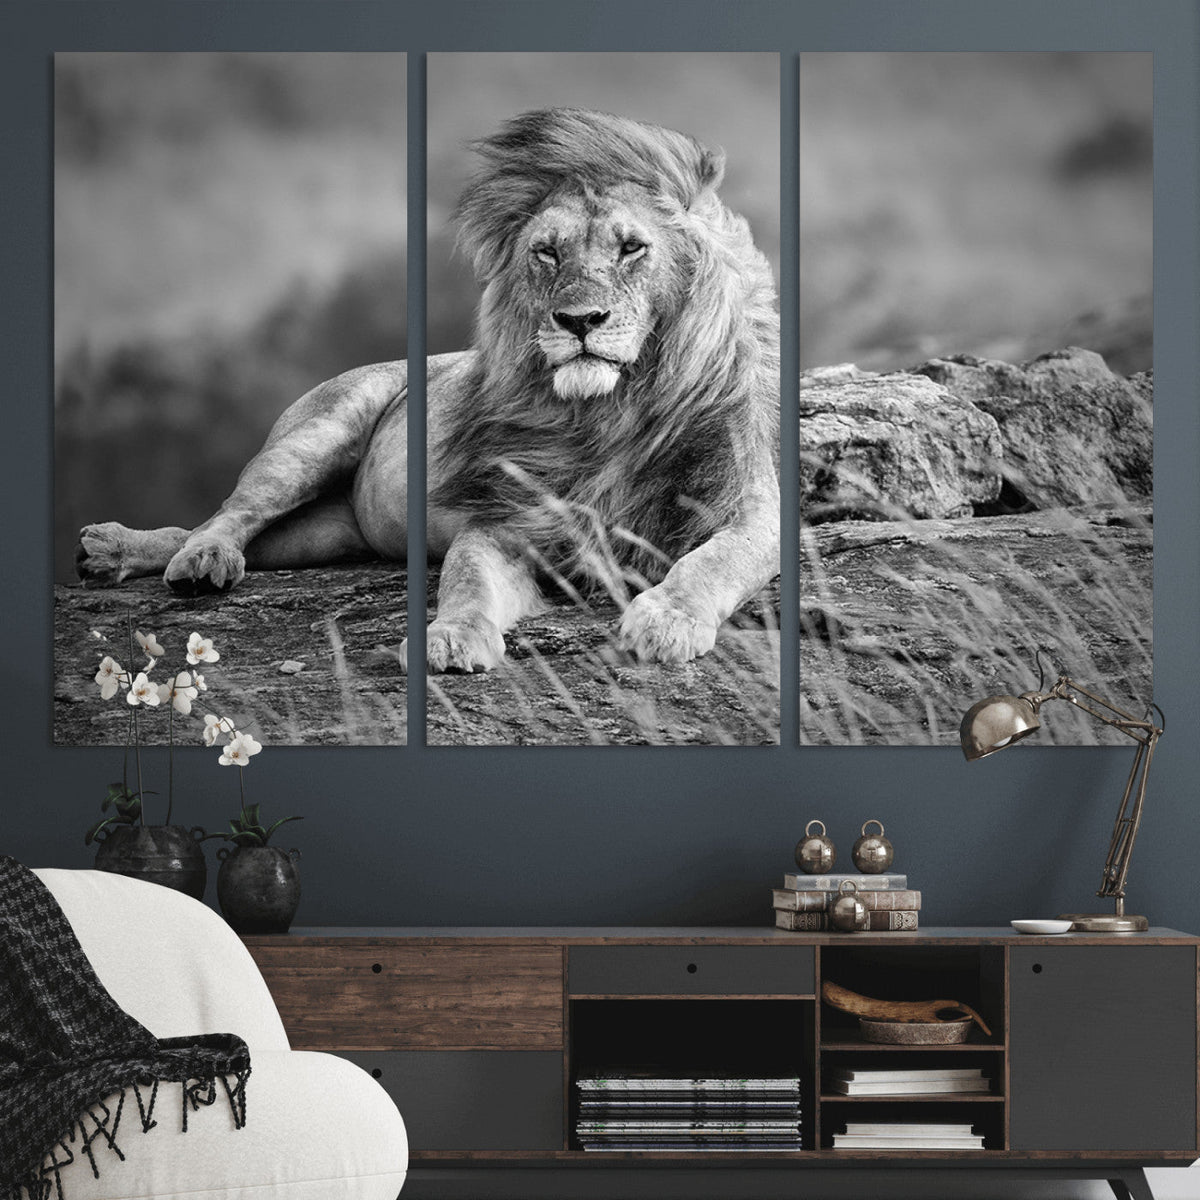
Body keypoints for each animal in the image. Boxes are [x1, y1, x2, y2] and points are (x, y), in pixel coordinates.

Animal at [75, 108, 780, 673]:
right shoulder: (502, 522)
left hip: (325, 534)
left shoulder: (751, 511)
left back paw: (117, 553)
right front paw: (450, 637)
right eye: (547, 253)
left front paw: (665, 621)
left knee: (227, 531)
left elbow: (714, 560)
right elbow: (465, 580)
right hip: (314, 436)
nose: (578, 321)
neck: (610, 413)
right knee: (228, 513)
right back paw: (185, 557)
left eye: (632, 248)